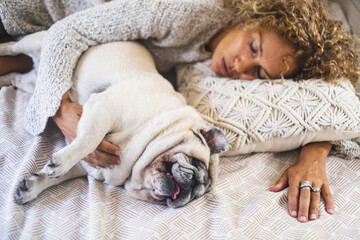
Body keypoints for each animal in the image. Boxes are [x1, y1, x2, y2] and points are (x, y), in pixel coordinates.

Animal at [0, 31, 229, 208]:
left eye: (198, 195)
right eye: (195, 163)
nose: (192, 188)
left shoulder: (89, 165)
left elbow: (57, 177)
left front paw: (31, 187)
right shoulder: (104, 109)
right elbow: (88, 141)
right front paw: (62, 162)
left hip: (33, 86)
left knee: (15, 78)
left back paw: (3, 79)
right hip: (37, 42)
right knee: (13, 47)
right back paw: (4, 47)